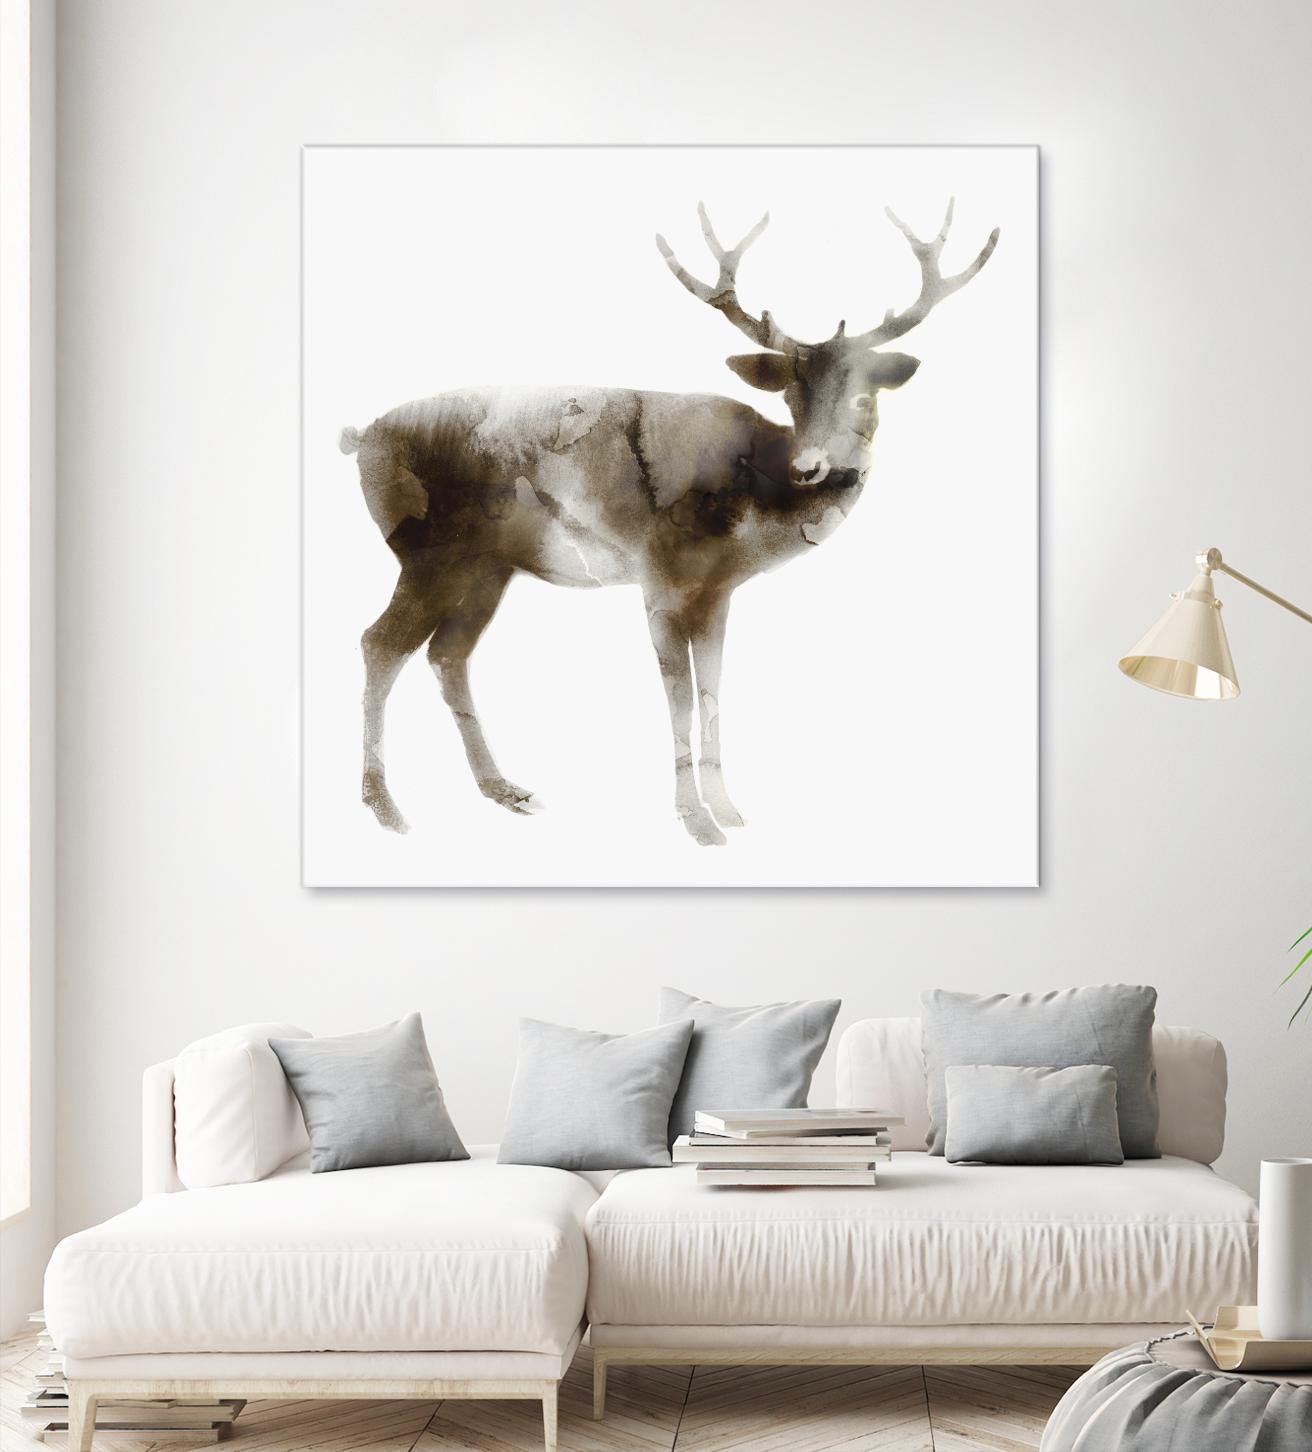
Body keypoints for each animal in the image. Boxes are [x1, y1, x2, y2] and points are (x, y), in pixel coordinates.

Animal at [339, 200, 998, 846]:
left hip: (486, 568)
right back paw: (385, 807)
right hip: (427, 553)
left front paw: (728, 809)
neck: (752, 512)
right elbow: (679, 696)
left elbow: (712, 690)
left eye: (865, 396)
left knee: (448, 654)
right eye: (790, 395)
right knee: (380, 643)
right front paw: (696, 821)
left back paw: (504, 789)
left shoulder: (718, 593)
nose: (811, 467)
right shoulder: (660, 579)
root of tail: (361, 438)